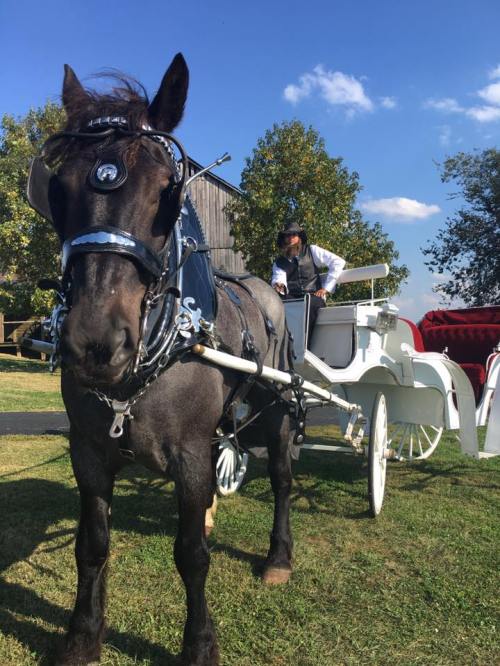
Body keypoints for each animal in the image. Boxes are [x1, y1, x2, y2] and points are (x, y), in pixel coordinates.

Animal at [28, 53, 293, 665]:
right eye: (59, 190)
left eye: (166, 193)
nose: (96, 343)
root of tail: (262, 287)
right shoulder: (89, 453)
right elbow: (92, 545)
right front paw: (83, 634)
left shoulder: (190, 457)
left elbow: (191, 554)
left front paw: (199, 643)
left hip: (277, 409)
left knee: (282, 478)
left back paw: (278, 556)